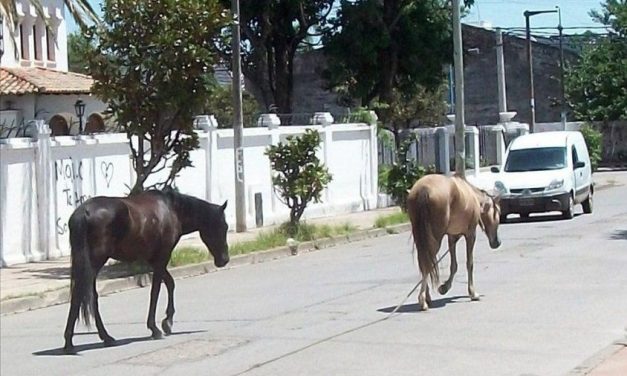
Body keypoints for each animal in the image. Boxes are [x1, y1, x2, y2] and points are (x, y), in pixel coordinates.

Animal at [63, 191, 231, 352]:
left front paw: (167, 322)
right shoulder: (162, 257)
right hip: (94, 263)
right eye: (224, 226)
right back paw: (75, 341)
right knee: (83, 294)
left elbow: (170, 283)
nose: (224, 259)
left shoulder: (153, 260)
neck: (172, 209)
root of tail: (84, 212)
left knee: (88, 295)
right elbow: (156, 291)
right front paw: (156, 328)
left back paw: (97, 338)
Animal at [408, 175, 500, 310]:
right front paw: (472, 293)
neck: (473, 196)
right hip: (435, 238)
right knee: (427, 263)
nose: (497, 242)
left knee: (424, 261)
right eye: (498, 214)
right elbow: (469, 263)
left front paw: (444, 288)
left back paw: (427, 297)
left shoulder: (452, 237)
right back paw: (423, 300)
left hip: (420, 237)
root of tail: (423, 189)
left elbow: (454, 265)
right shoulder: (470, 235)